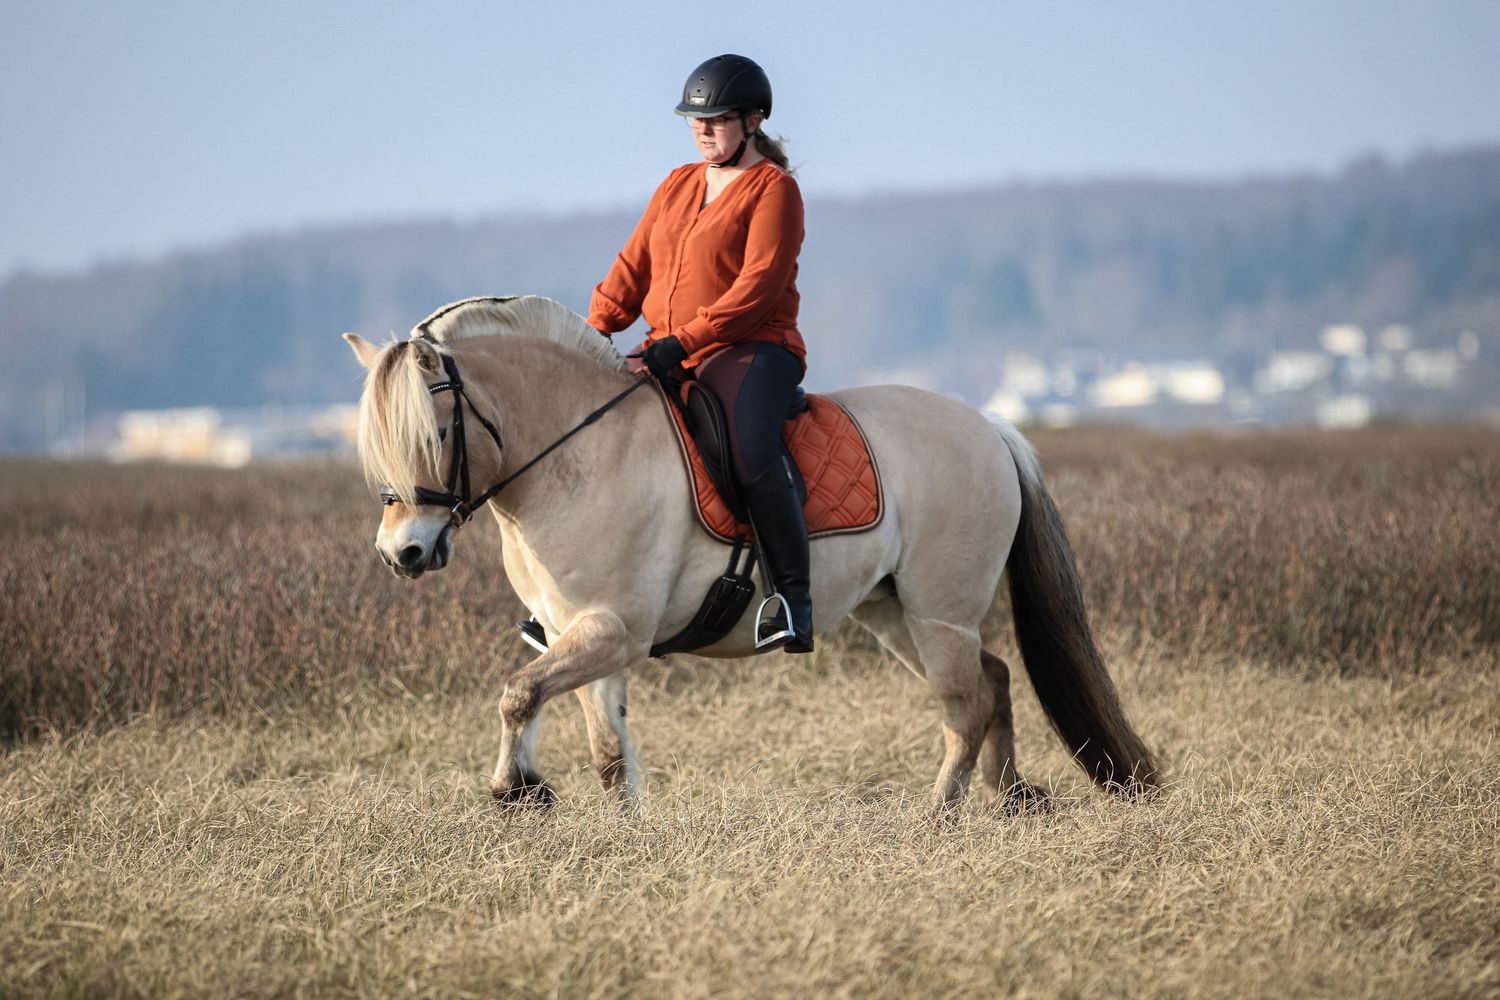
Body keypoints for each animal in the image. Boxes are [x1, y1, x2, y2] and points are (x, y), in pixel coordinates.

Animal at [343, 295, 1158, 816]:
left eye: (433, 433)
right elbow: (604, 752)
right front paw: (615, 827)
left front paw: (516, 791)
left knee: (967, 705)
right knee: (993, 681)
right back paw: (1011, 798)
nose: (403, 553)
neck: (576, 456)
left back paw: (940, 817)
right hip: (897, 615)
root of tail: (990, 427)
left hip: (940, 613)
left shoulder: (614, 632)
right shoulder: (577, 634)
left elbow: (518, 694)